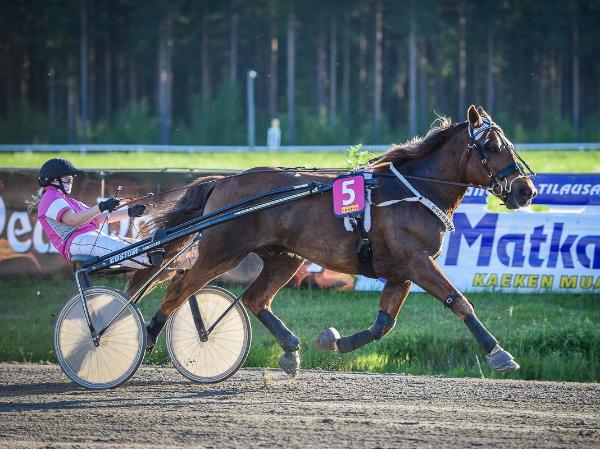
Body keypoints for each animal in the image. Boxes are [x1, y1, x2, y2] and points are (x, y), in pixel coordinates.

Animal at [126, 105, 538, 376]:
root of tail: (223, 182)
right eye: (492, 146)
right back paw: (145, 340)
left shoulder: (400, 272)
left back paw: (291, 350)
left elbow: (383, 324)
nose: (526, 190)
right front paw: (499, 353)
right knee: (178, 288)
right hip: (221, 251)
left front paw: (333, 341)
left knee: (256, 298)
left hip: (284, 256)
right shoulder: (418, 261)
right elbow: (459, 301)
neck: (411, 191)